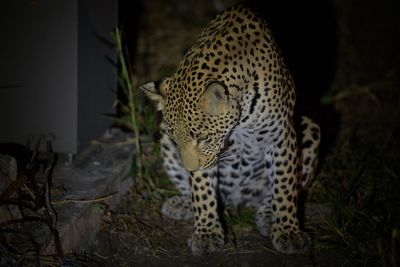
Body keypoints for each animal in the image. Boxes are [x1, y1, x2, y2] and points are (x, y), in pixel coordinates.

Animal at [141, 4, 318, 255]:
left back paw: (269, 216)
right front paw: (207, 233)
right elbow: (201, 191)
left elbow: (284, 186)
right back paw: (181, 204)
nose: (190, 169)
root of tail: (237, 200)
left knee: (272, 192)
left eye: (204, 138)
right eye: (176, 141)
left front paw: (288, 231)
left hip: (309, 128)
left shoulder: (281, 135)